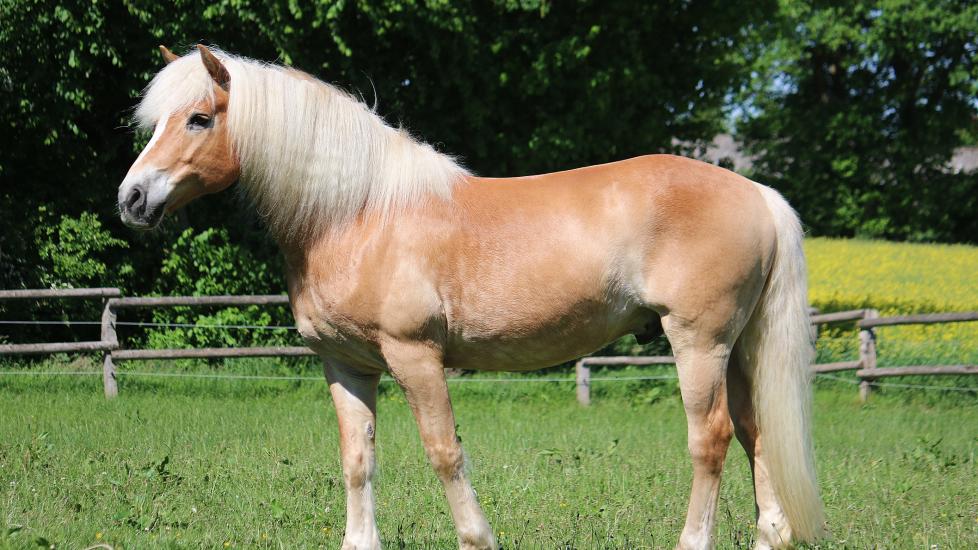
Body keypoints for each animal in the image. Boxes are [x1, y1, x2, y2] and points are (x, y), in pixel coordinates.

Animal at [120, 46, 824, 550]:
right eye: (156, 121)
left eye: (200, 118)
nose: (131, 198)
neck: (358, 214)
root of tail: (756, 193)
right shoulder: (346, 365)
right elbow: (357, 459)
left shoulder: (415, 357)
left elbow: (444, 453)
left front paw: (477, 538)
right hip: (739, 345)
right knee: (755, 431)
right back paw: (769, 537)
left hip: (698, 341)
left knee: (711, 439)